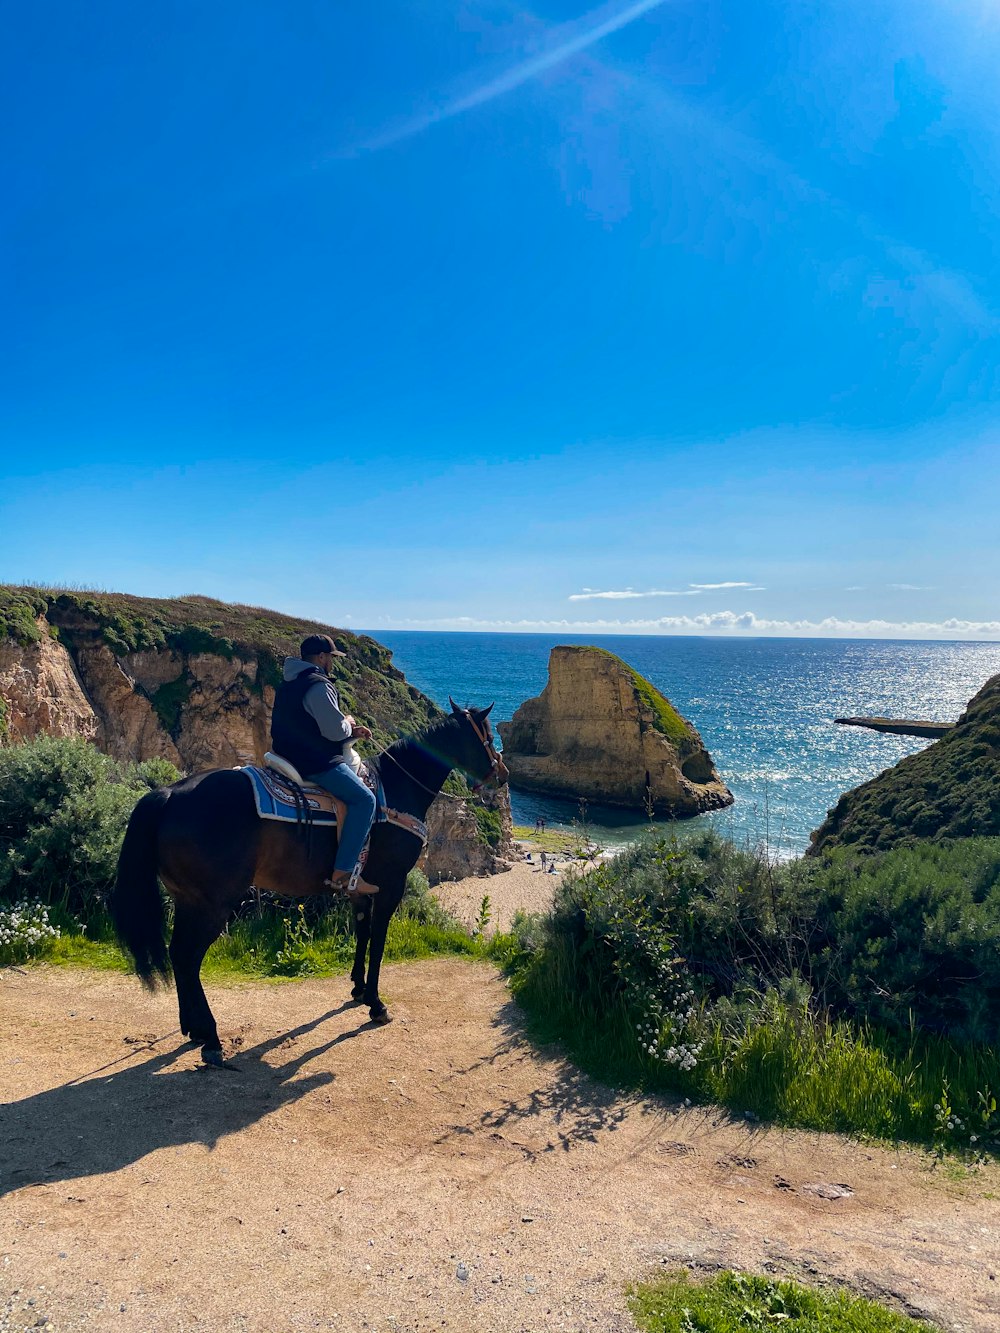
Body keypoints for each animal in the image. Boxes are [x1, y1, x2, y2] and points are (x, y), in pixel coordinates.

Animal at [111, 703, 509, 1066]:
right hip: (213, 905)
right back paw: (210, 1037)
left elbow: (362, 933)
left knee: (177, 954)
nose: (503, 773)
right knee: (188, 957)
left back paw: (191, 1028)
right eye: (488, 736)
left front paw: (357, 988)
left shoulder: (360, 888)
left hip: (186, 900)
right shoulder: (391, 885)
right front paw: (376, 1003)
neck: (397, 791)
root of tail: (169, 795)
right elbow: (379, 940)